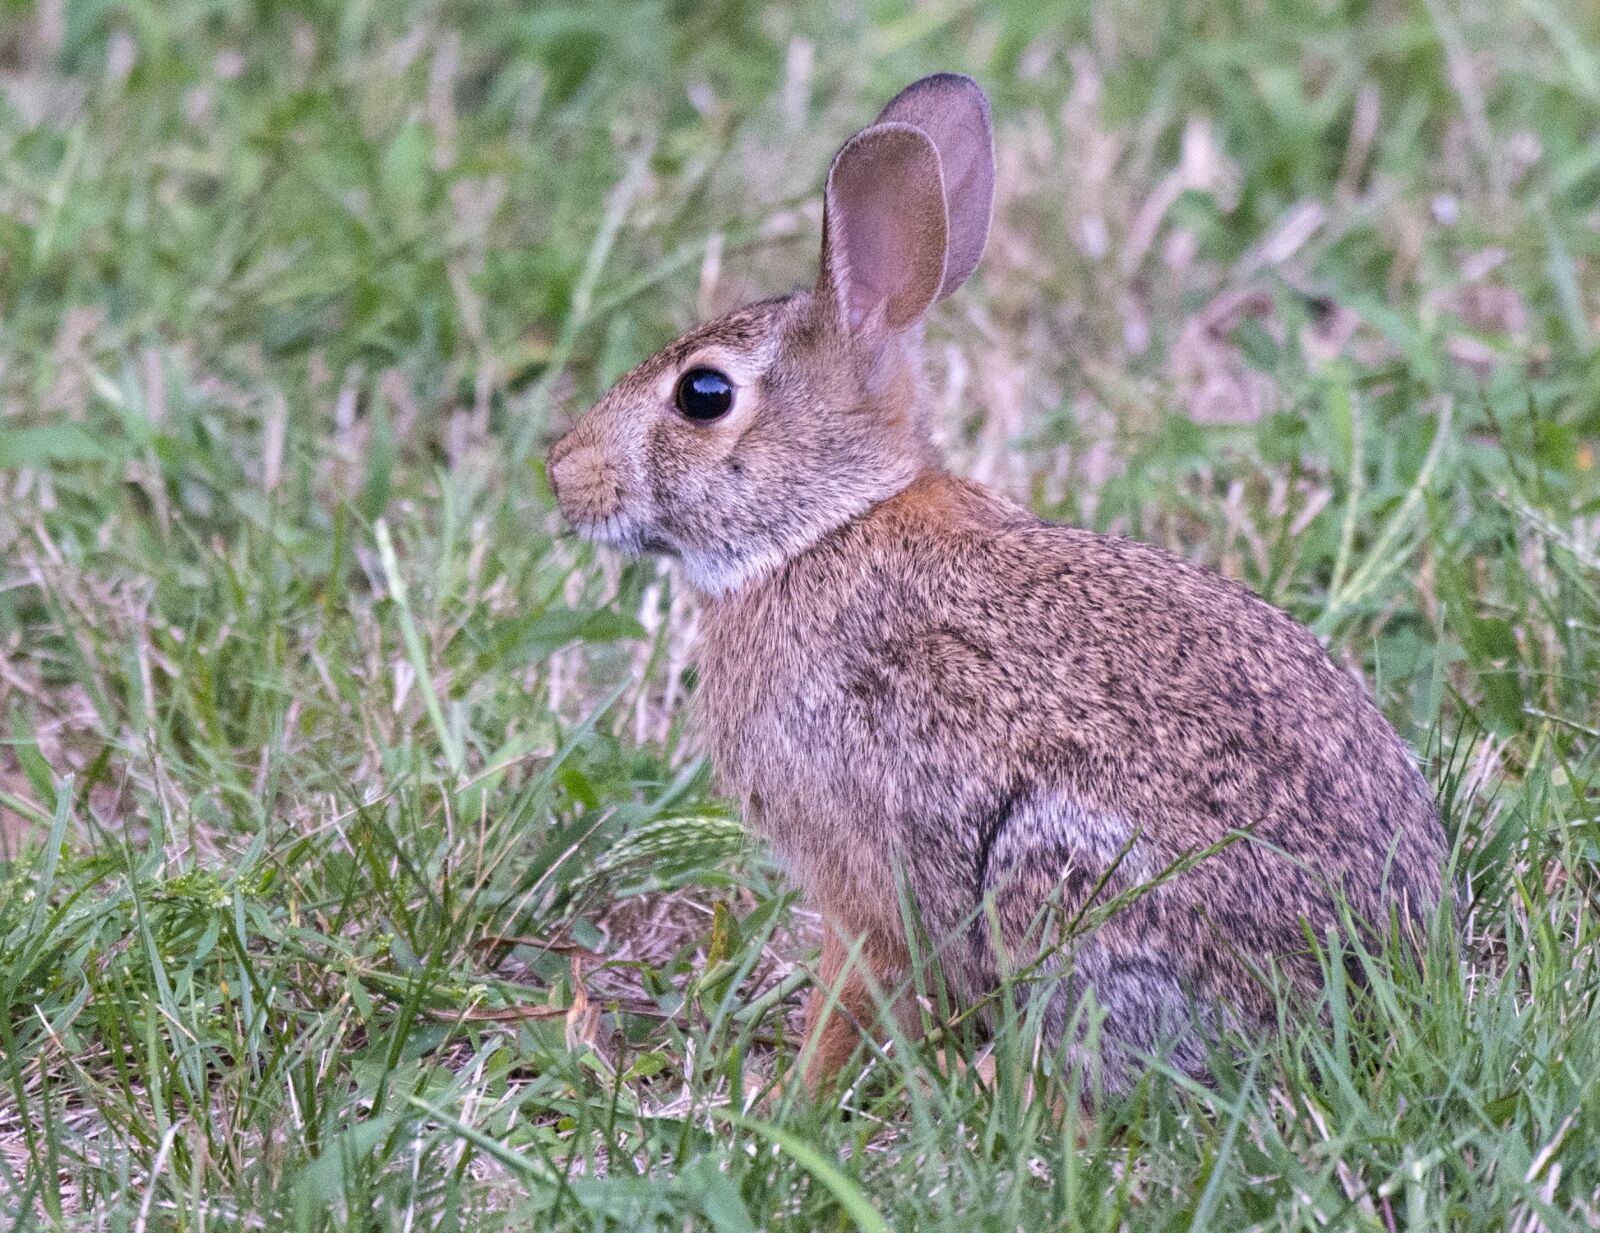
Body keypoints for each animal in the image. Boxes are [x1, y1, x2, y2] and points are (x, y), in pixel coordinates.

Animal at [547, 73, 1447, 1097]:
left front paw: (783, 1099)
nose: (563, 474)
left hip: (1061, 872)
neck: (821, 528)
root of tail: (1363, 991)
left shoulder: (862, 872)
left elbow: (850, 989)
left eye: (703, 395)